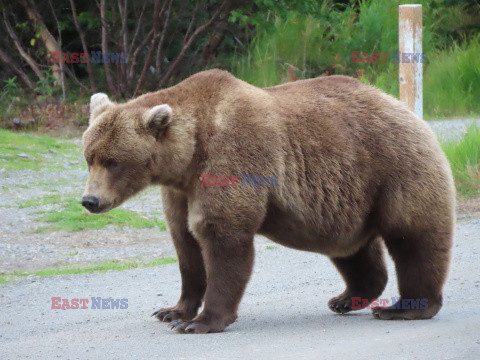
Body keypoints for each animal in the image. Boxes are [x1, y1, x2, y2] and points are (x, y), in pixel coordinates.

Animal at [81, 69, 454, 334]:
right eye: (89, 157)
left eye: (113, 161)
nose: (90, 200)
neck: (188, 156)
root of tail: (402, 106)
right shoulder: (179, 191)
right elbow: (185, 244)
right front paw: (172, 310)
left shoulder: (232, 158)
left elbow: (222, 238)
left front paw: (200, 321)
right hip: (347, 199)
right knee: (352, 248)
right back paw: (345, 299)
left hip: (394, 167)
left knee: (414, 236)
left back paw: (404, 307)